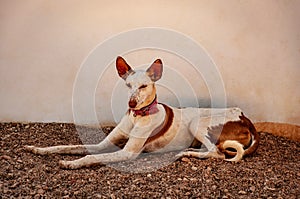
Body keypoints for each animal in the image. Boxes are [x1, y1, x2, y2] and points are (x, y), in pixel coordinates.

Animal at [25, 56, 260, 169]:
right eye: (128, 85)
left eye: (144, 86)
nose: (131, 103)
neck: (137, 117)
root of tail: (245, 117)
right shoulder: (104, 144)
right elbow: (68, 146)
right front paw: (38, 149)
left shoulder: (127, 152)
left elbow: (90, 157)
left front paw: (72, 163)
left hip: (198, 123)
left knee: (217, 153)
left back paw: (186, 154)